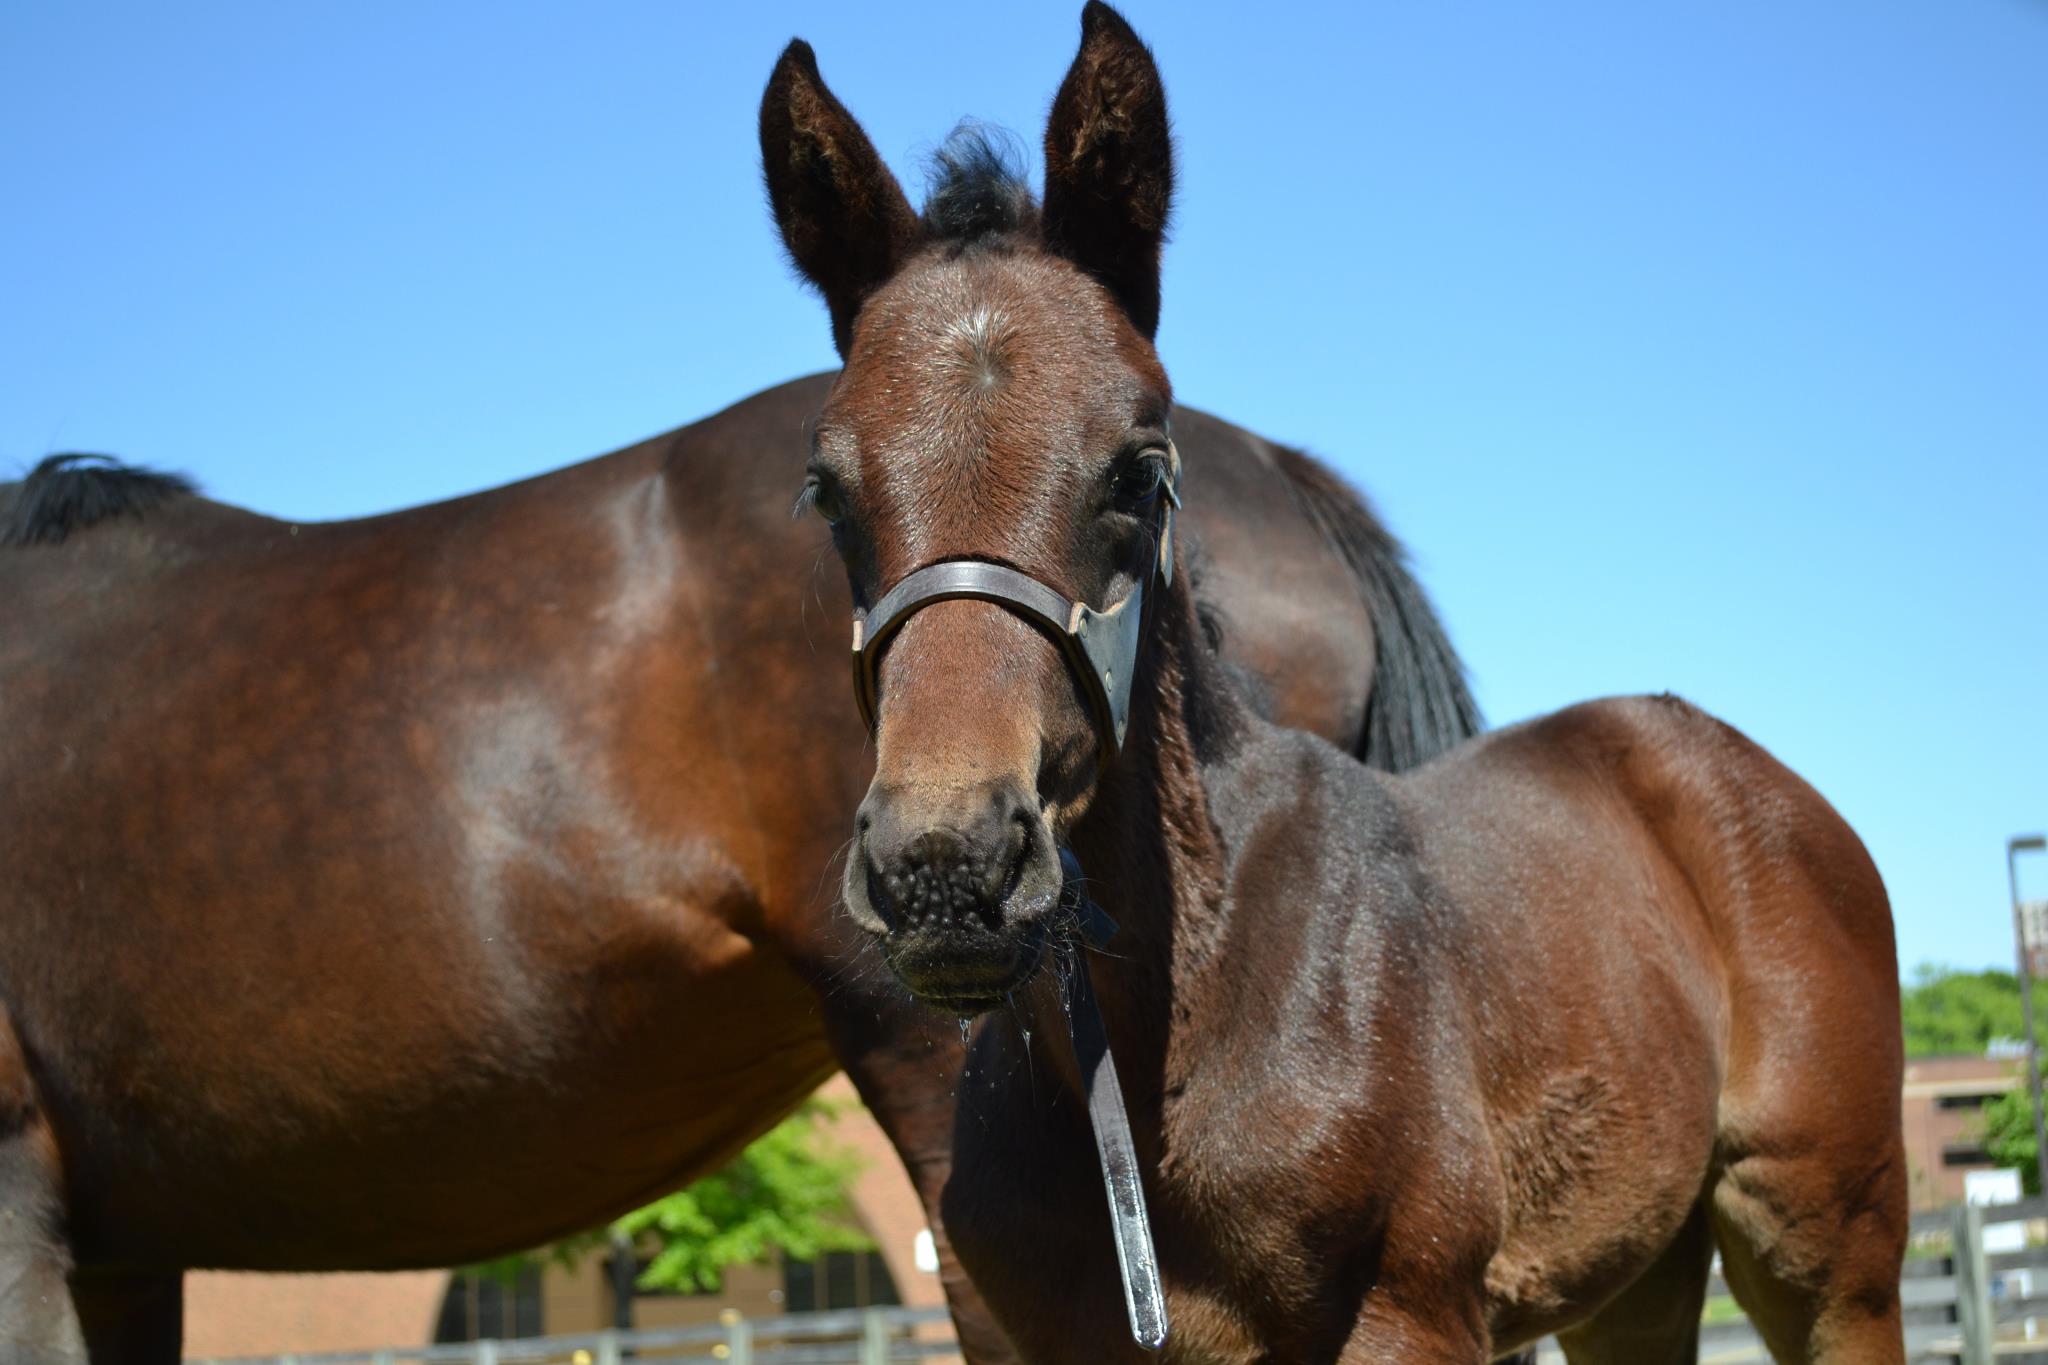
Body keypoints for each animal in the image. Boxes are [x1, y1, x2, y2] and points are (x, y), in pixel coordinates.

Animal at [765, 5, 1909, 1361]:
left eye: (1139, 468)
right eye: (826, 491)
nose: (946, 868)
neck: (1154, 1042)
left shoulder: (1407, 1311)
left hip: (1825, 1245)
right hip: (1638, 1268)